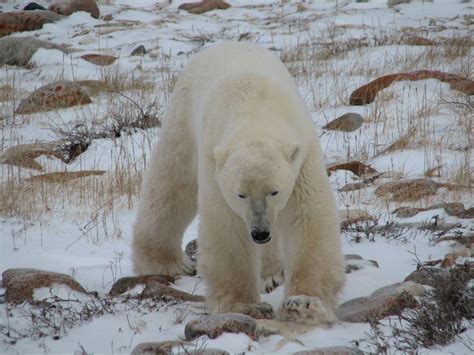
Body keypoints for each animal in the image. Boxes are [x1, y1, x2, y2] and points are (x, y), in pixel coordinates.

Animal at [132, 41, 344, 326]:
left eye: (275, 191)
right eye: (240, 194)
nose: (260, 232)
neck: (255, 110)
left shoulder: (302, 156)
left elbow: (308, 216)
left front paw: (303, 304)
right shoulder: (216, 163)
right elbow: (227, 227)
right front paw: (246, 306)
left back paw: (271, 273)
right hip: (183, 116)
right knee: (172, 184)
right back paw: (165, 262)